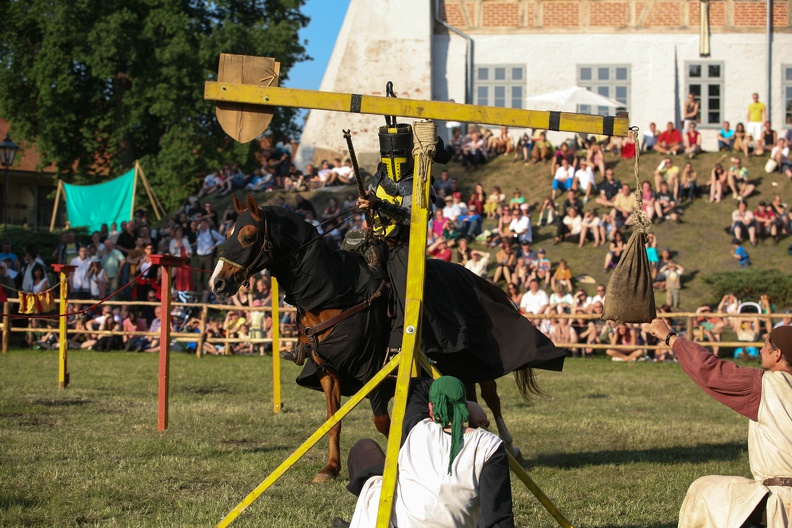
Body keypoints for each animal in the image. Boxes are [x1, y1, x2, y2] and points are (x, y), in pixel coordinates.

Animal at [213, 195, 568, 482]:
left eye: (247, 236)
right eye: (228, 233)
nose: (217, 283)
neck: (337, 292)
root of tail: (477, 277)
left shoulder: (374, 373)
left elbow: (384, 422)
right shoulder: (329, 373)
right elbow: (333, 421)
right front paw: (330, 468)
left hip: (473, 357)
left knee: (491, 396)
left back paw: (510, 446)